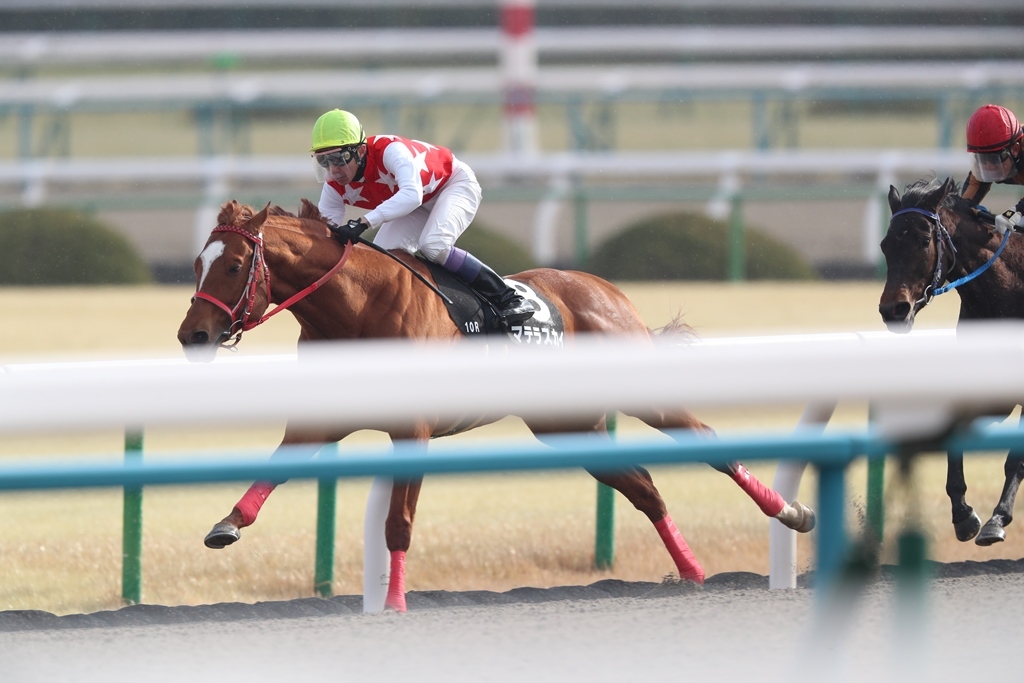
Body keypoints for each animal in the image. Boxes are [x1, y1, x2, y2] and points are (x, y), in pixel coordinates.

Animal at [177, 199, 816, 612]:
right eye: (197, 264)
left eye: (233, 265)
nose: (193, 336)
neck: (358, 308)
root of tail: (605, 288)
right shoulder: (323, 415)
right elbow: (277, 467)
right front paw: (228, 524)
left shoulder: (413, 429)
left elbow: (398, 523)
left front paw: (395, 601)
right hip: (567, 424)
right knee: (644, 488)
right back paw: (692, 572)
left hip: (634, 394)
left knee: (707, 444)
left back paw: (789, 511)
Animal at [879, 176, 1024, 546]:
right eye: (885, 245)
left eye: (923, 240)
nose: (893, 310)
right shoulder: (989, 390)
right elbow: (952, 432)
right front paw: (963, 515)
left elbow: (1016, 459)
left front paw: (997, 519)